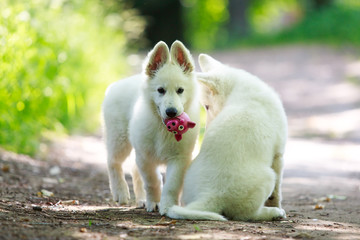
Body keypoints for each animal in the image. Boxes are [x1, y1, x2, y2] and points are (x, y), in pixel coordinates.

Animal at [102, 40, 200, 215]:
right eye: (160, 90)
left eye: (180, 90)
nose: (171, 112)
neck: (163, 128)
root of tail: (114, 86)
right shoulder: (145, 157)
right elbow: (152, 180)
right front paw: (154, 202)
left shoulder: (180, 158)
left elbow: (172, 185)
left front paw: (167, 205)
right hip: (119, 139)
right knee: (113, 162)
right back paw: (120, 192)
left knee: (134, 170)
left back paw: (140, 199)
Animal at [167, 54, 288, 221]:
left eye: (207, 106)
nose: (207, 128)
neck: (240, 89)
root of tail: (211, 194)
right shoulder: (278, 155)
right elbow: (276, 193)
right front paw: (277, 206)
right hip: (269, 176)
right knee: (245, 214)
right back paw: (273, 212)